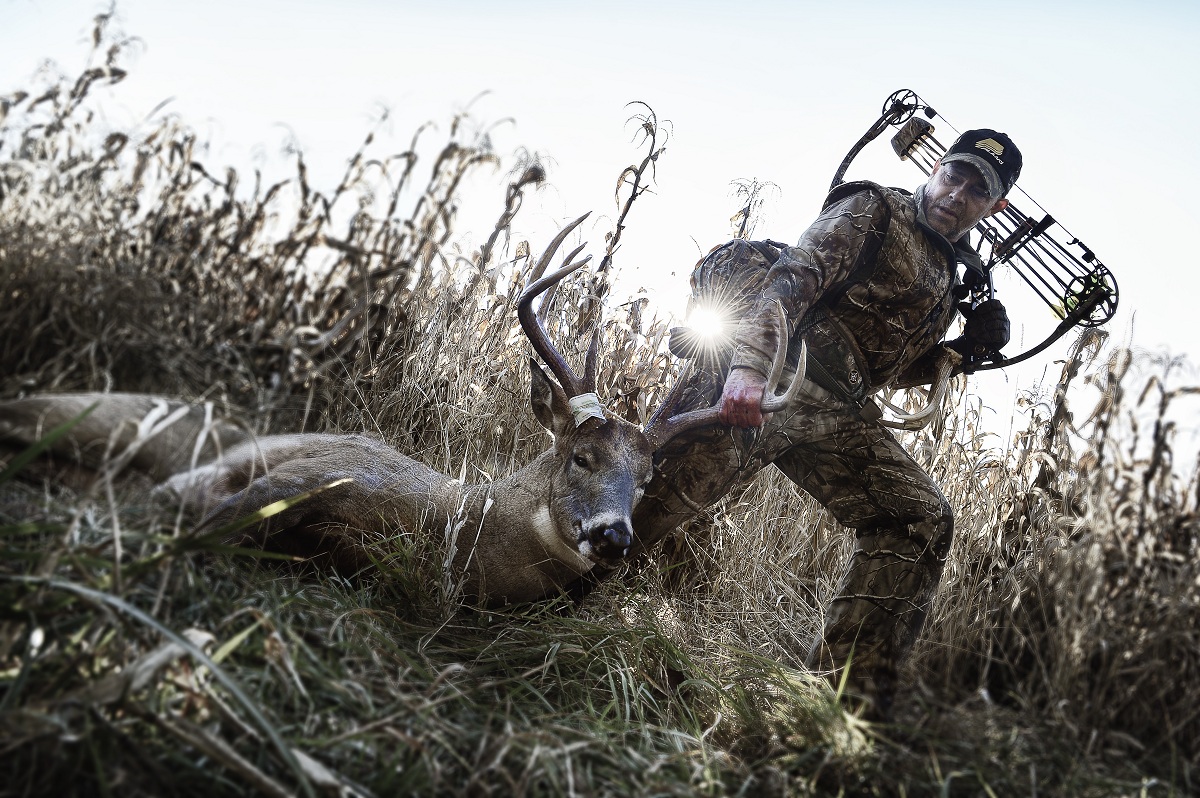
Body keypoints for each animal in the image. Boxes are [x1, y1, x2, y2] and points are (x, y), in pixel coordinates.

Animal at [0, 216, 803, 605]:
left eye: (645, 484)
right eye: (582, 455)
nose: (615, 536)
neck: (456, 529)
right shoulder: (318, 470)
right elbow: (202, 516)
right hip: (113, 413)